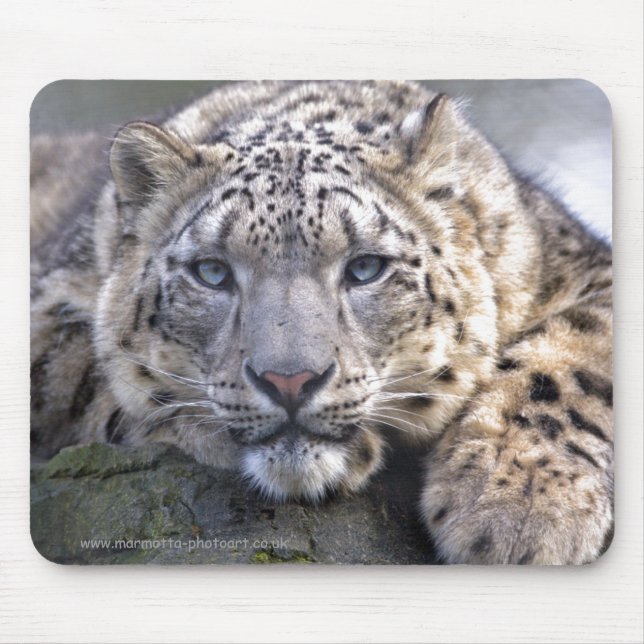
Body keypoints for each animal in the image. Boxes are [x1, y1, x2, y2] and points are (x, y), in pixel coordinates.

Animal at [30, 81, 613, 564]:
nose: (289, 381)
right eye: (212, 272)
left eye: (366, 268)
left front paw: (520, 505)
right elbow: (98, 379)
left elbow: (574, 359)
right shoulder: (47, 308)